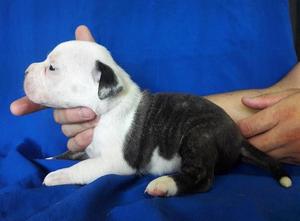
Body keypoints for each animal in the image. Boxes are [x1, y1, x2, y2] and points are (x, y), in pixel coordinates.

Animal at [24, 40, 292, 196]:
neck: (109, 107)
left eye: (52, 68)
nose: (25, 70)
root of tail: (237, 138)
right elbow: (70, 154)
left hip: (198, 135)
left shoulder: (115, 162)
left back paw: (164, 185)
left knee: (203, 178)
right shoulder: (87, 146)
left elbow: (82, 167)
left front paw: (57, 175)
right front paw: (49, 159)